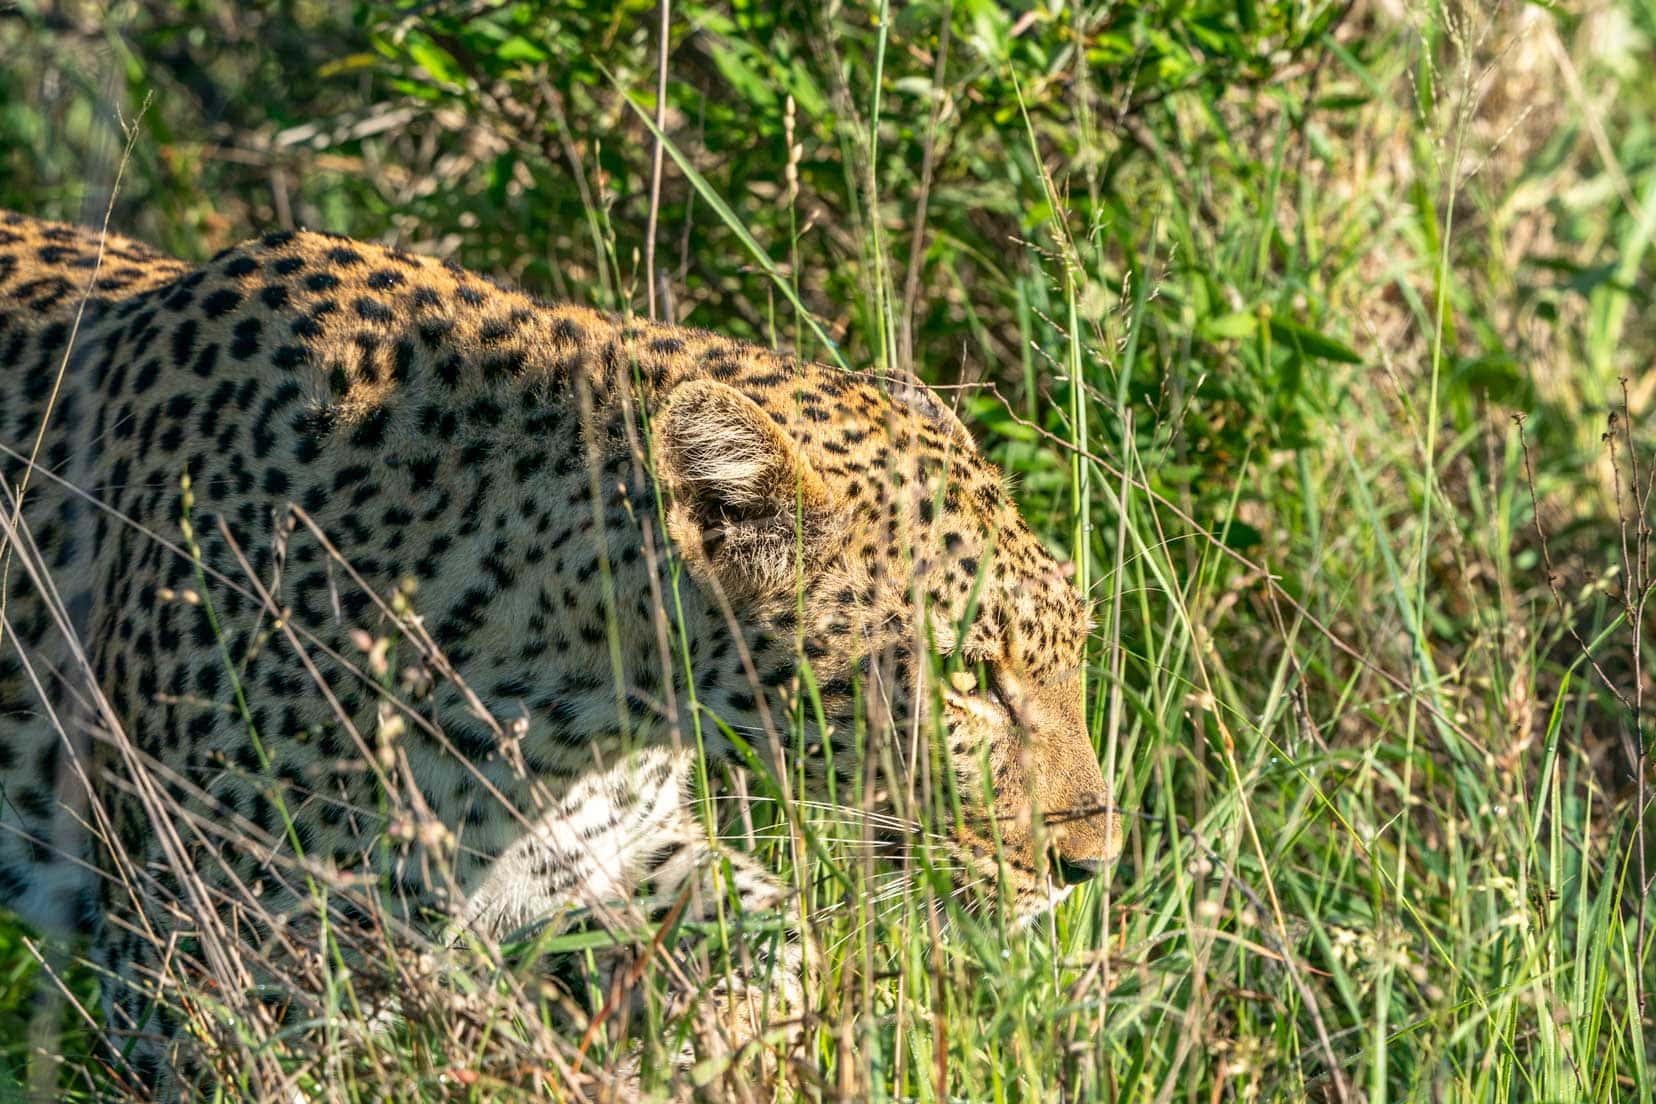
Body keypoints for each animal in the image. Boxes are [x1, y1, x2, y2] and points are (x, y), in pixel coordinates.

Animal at [0, 211, 1126, 1099]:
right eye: (971, 679)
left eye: (1073, 647)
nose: (1092, 868)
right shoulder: (209, 971)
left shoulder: (608, 857)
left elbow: (773, 947)